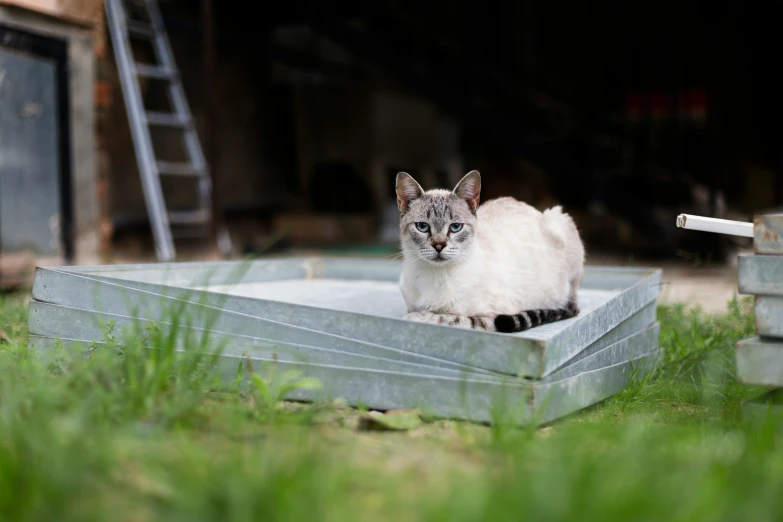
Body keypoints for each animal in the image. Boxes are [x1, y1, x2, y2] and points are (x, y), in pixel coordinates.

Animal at [398, 171, 588, 334]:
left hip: (559, 219)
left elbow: (445, 318)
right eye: (422, 227)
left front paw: (414, 317)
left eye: (455, 227)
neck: (434, 277)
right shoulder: (411, 303)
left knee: (570, 306)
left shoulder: (489, 318)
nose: (439, 246)